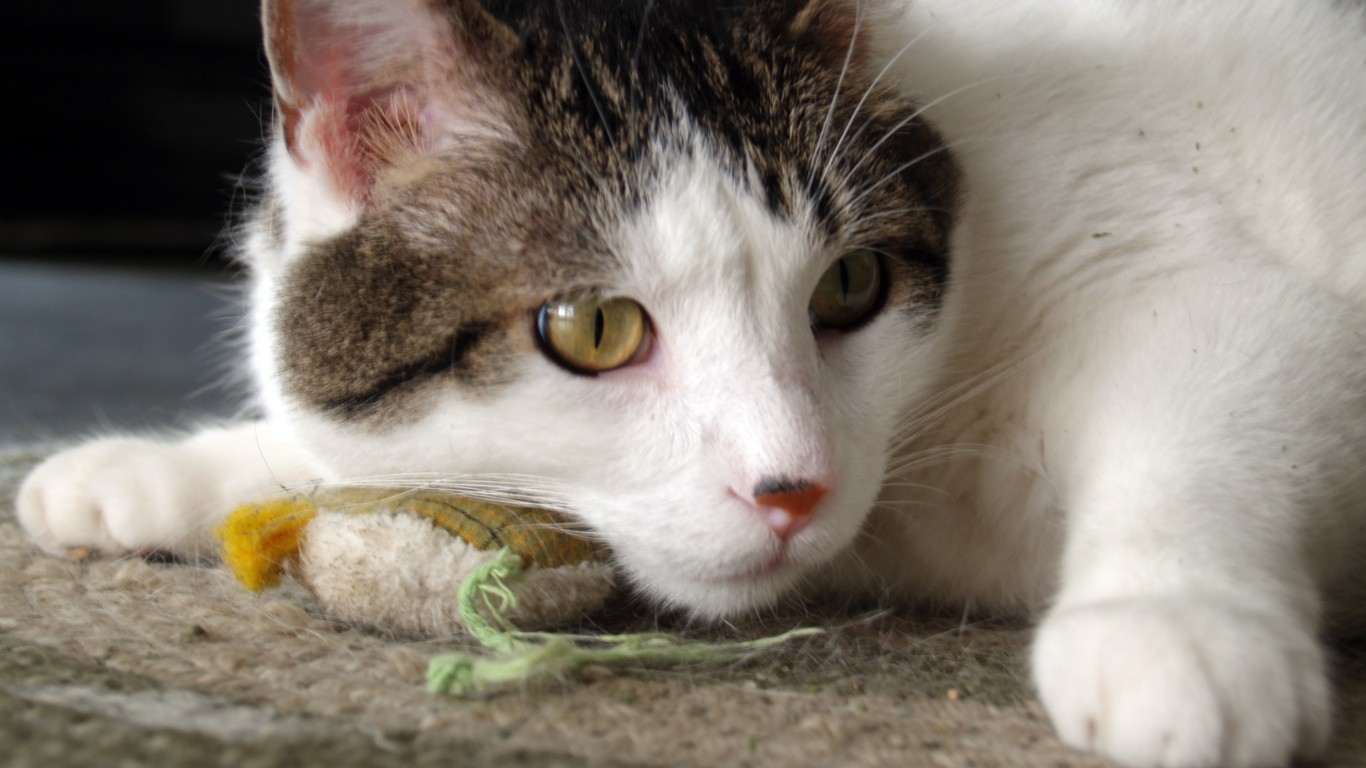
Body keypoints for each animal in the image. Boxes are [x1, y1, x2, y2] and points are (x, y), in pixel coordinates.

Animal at [13, 0, 1366, 759]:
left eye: (850, 286)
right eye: (595, 328)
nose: (793, 488)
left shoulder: (1190, 275)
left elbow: (1214, 405)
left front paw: (1175, 631)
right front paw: (150, 474)